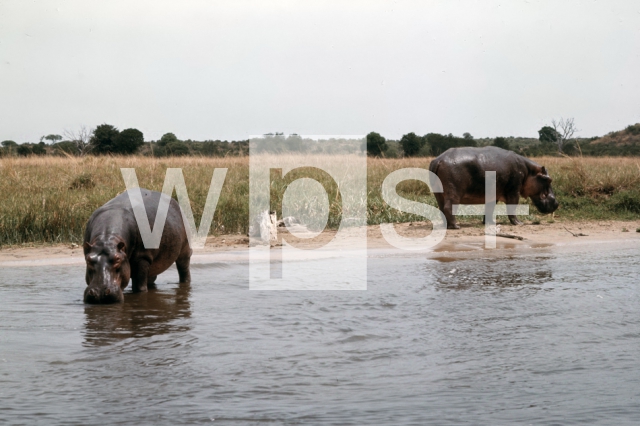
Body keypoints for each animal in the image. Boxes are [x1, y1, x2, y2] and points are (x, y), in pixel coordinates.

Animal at [430, 146, 560, 230]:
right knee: (448, 207)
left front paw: (490, 223)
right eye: (549, 179)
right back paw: (456, 226)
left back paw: (447, 225)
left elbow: (489, 208)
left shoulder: (493, 195)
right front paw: (519, 223)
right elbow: (512, 207)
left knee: (441, 208)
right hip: (454, 192)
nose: (557, 203)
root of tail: (439, 160)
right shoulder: (514, 191)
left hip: (439, 193)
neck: (529, 171)